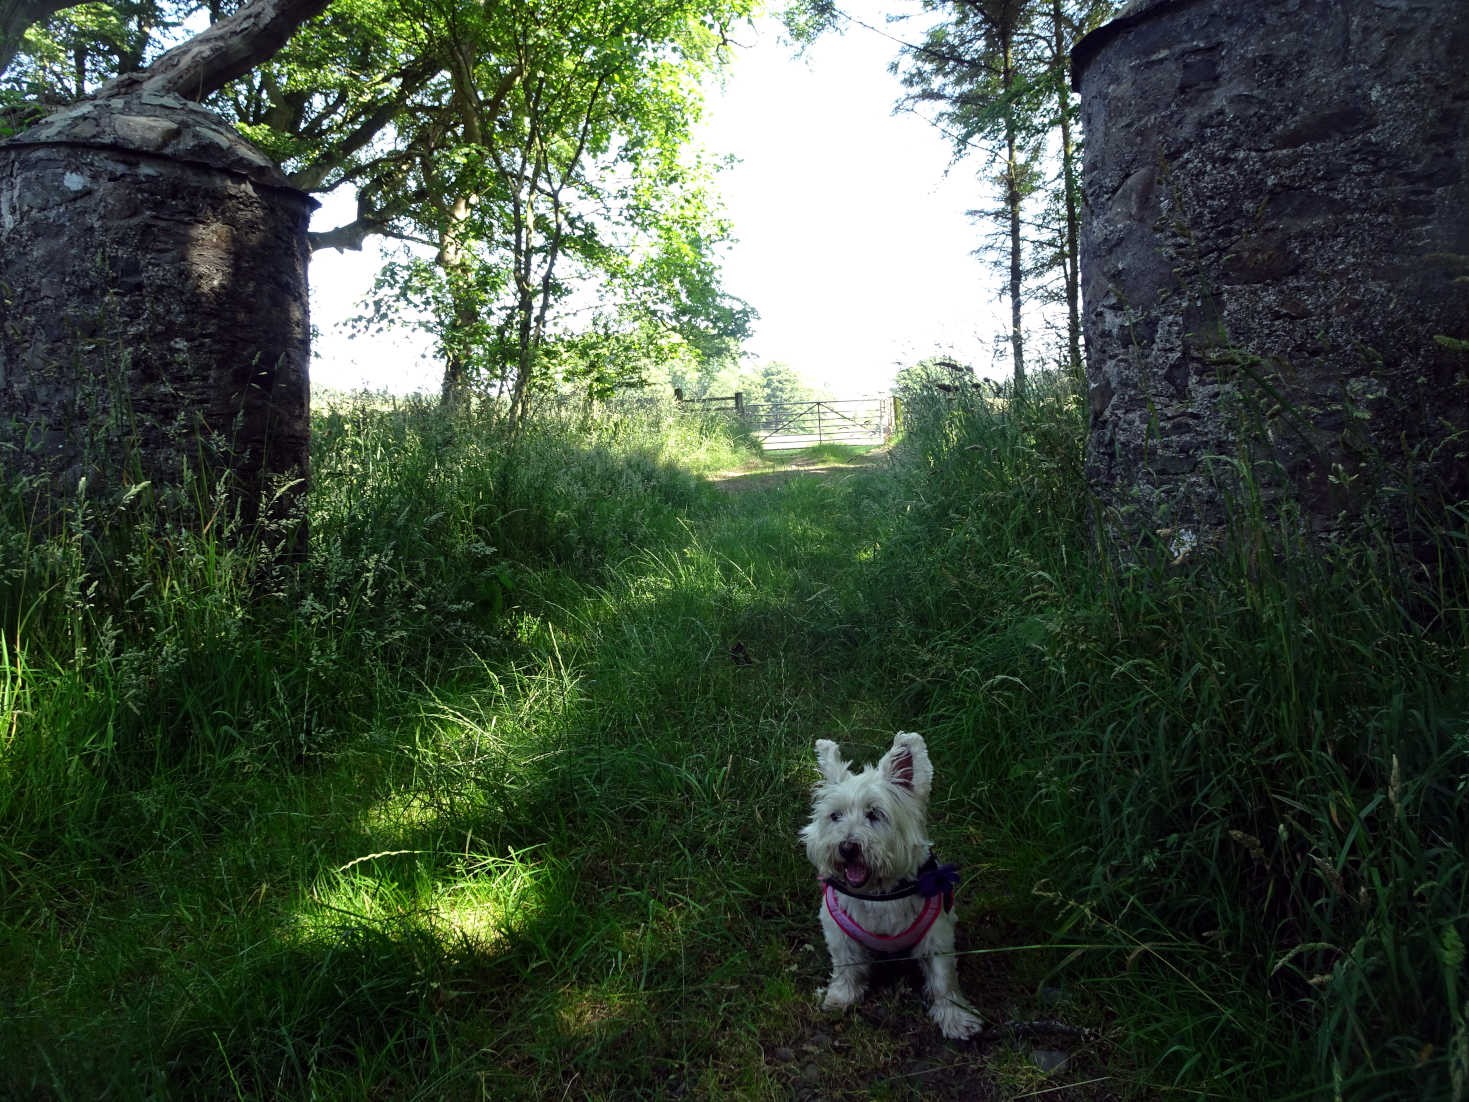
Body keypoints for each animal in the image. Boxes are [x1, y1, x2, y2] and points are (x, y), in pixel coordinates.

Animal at [799, 734, 981, 1046]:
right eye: (834, 815)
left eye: (875, 814)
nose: (847, 847)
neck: (878, 892)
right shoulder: (838, 931)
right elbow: (846, 966)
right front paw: (839, 997)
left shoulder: (937, 935)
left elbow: (943, 979)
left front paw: (957, 1019)